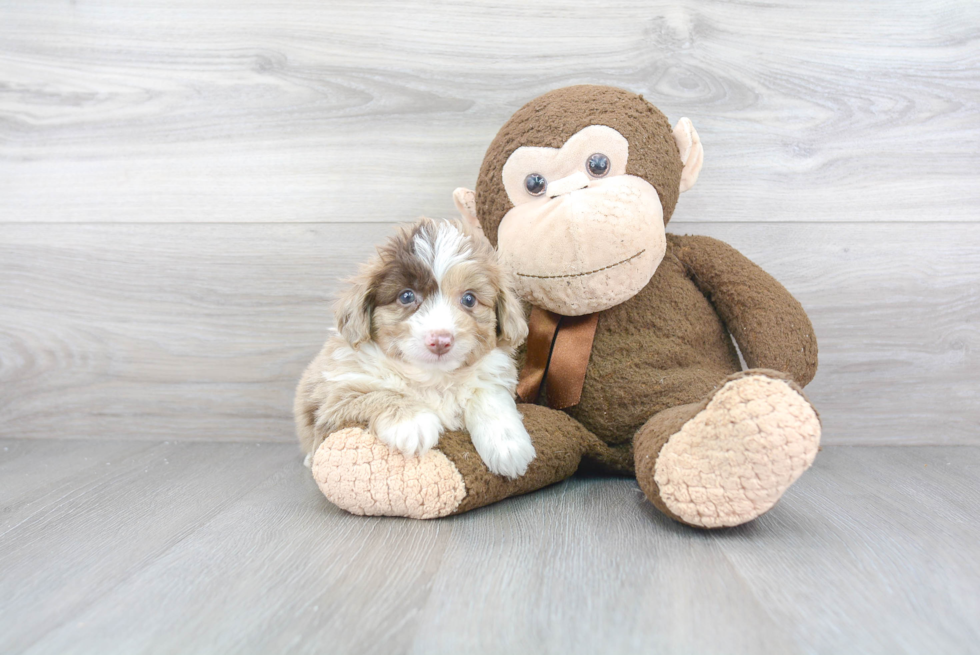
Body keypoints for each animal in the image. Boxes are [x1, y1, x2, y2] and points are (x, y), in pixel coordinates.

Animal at [294, 218, 536, 480]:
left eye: (469, 299)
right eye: (407, 296)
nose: (440, 340)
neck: (433, 377)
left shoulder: (493, 374)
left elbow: (488, 396)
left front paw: (508, 444)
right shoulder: (336, 394)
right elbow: (376, 393)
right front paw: (411, 422)